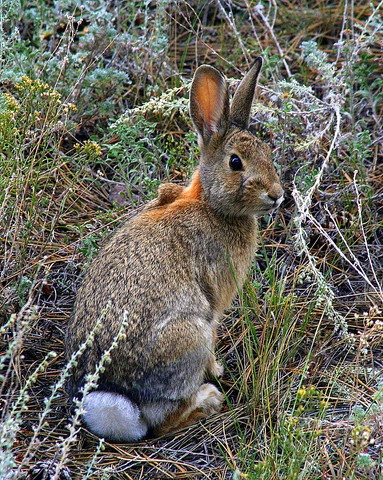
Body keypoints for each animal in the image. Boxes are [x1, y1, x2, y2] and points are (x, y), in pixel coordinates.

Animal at [64, 58, 284, 444]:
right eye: (236, 163)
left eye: (268, 154)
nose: (277, 194)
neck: (211, 204)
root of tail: (114, 398)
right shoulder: (214, 302)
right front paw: (218, 369)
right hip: (190, 336)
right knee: (163, 421)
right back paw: (208, 400)